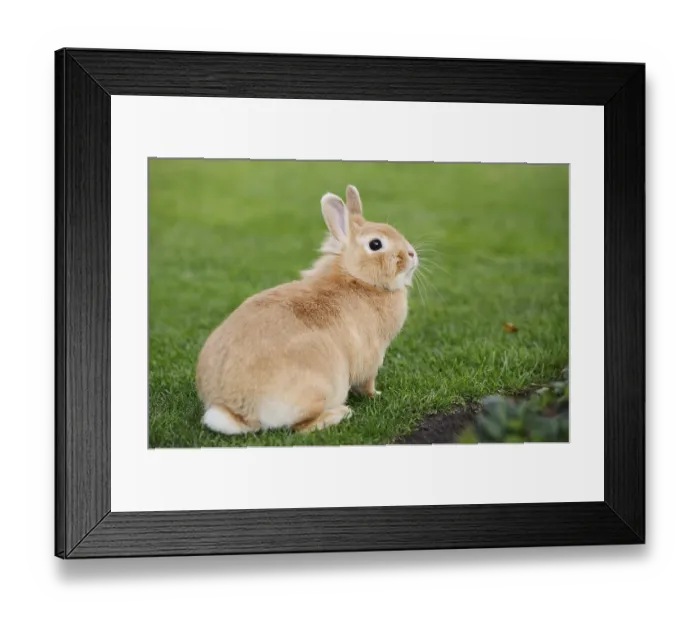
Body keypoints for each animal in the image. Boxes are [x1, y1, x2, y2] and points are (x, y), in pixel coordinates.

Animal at [196, 184, 419, 435]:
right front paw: (376, 395)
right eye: (375, 244)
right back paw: (340, 413)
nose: (412, 254)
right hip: (319, 389)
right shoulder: (371, 357)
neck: (357, 278)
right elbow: (367, 383)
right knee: (300, 427)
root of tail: (237, 411)